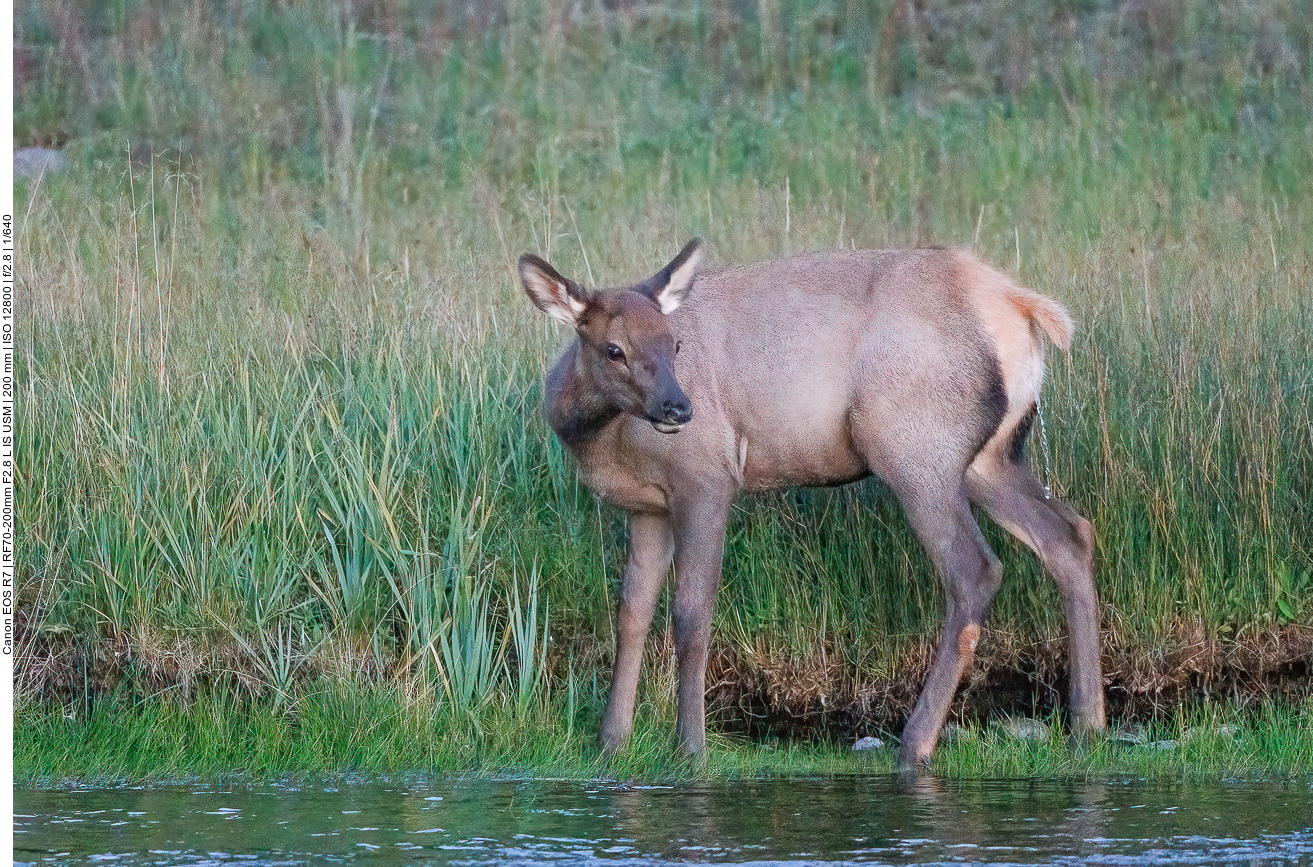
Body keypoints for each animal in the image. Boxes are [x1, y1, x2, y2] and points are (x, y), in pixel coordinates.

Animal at [517, 236, 1102, 767]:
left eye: (674, 344)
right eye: (614, 349)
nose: (679, 408)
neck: (599, 439)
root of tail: (1020, 307)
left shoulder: (705, 480)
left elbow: (691, 614)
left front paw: (691, 748)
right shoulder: (647, 507)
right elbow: (631, 613)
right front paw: (610, 743)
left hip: (915, 447)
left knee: (975, 569)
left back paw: (916, 743)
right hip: (989, 457)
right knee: (1069, 534)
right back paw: (1088, 723)